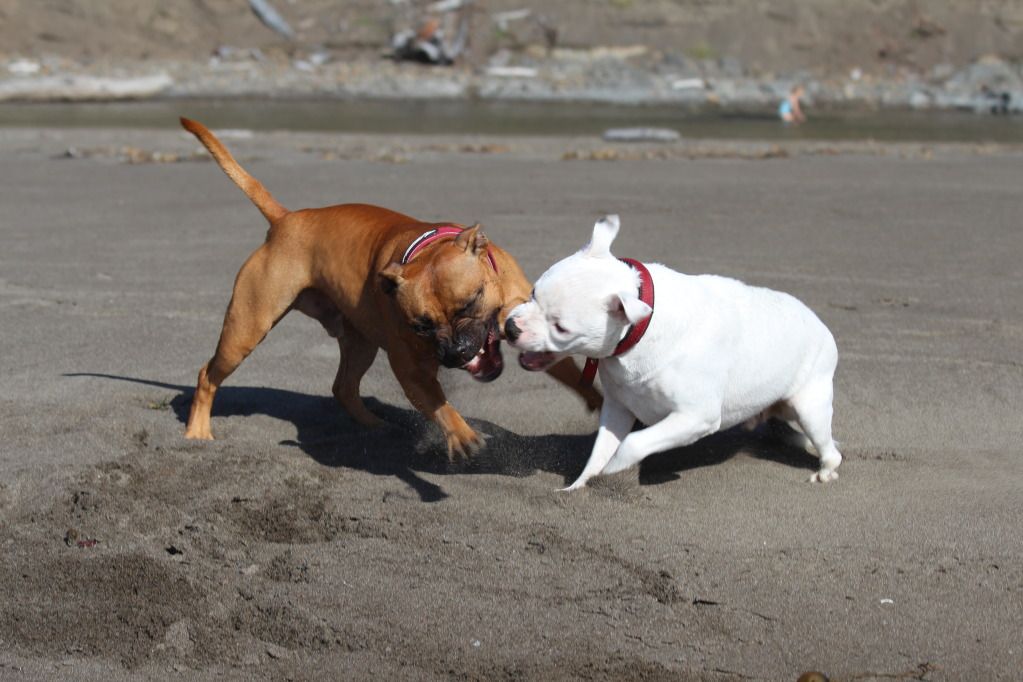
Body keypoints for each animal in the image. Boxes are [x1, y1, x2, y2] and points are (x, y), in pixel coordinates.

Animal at [182, 119, 597, 456]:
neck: (427, 250)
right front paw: (461, 435)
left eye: (471, 302)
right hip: (246, 328)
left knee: (343, 387)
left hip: (359, 342)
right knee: (207, 375)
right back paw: (197, 433)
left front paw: (595, 397)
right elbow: (439, 405)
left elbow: (571, 372)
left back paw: (375, 426)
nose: (457, 353)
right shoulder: (411, 370)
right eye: (422, 326)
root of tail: (286, 221)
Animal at [503, 215, 838, 488]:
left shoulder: (696, 417)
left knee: (829, 447)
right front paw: (578, 487)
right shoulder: (617, 408)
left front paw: (615, 469)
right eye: (532, 292)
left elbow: (633, 443)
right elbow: (599, 452)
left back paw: (825, 470)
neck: (638, 333)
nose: (510, 328)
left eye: (561, 328)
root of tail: (820, 322)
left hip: (809, 407)